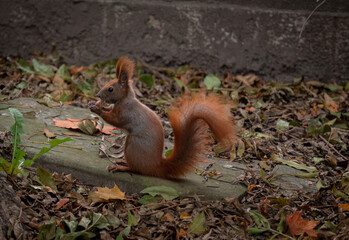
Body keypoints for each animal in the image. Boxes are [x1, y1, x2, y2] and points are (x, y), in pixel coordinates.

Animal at [88, 56, 235, 178]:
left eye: (110, 89)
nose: (98, 95)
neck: (124, 99)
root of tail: (157, 167)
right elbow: (109, 109)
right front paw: (93, 104)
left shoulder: (126, 113)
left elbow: (114, 120)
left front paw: (96, 109)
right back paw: (122, 162)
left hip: (134, 146)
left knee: (136, 169)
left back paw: (120, 167)